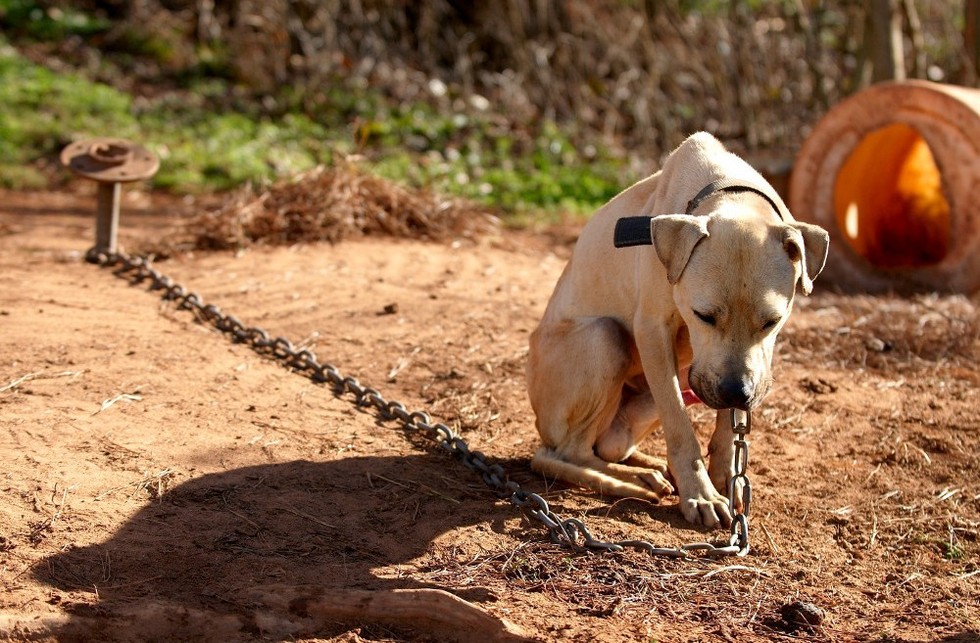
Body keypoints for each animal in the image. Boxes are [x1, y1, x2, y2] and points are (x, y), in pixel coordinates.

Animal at [528, 132, 828, 528]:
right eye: (703, 315)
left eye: (772, 321)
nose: (736, 392)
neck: (728, 189)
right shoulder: (654, 332)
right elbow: (681, 428)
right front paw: (701, 495)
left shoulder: (742, 369)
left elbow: (729, 426)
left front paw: (725, 477)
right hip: (604, 338)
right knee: (566, 453)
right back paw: (634, 481)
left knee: (604, 446)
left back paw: (647, 467)